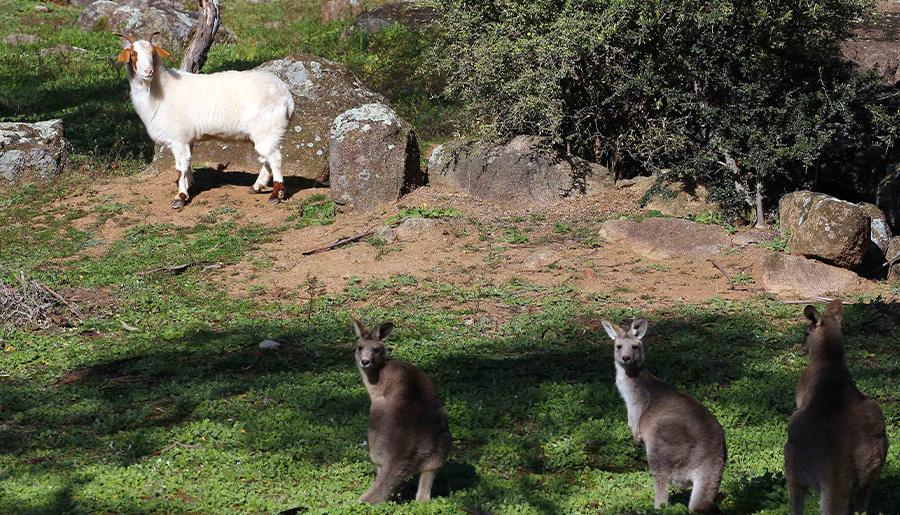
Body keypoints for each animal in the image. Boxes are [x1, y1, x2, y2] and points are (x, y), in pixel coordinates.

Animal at [114, 31, 294, 209]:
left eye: (153, 53)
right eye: (133, 54)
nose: (148, 71)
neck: (159, 90)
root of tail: (286, 94)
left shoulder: (178, 138)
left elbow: (180, 167)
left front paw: (180, 197)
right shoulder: (187, 139)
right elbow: (187, 164)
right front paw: (190, 185)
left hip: (267, 128)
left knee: (275, 158)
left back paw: (276, 194)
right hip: (263, 133)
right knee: (266, 159)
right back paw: (256, 187)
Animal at [351, 317, 452, 504]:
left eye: (376, 350)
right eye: (360, 347)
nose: (364, 361)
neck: (379, 372)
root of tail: (405, 447)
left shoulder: (377, 395)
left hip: (376, 415)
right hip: (440, 443)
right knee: (424, 492)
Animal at [602, 318, 726, 512]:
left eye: (634, 347)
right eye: (619, 346)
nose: (625, 358)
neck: (632, 374)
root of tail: (710, 462)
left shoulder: (636, 401)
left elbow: (633, 420)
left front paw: (636, 439)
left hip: (662, 447)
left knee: (662, 489)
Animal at [784, 300, 888, 515]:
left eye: (806, 332)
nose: (802, 348)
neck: (829, 360)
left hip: (792, 458)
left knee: (796, 500)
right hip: (874, 462)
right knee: (862, 503)